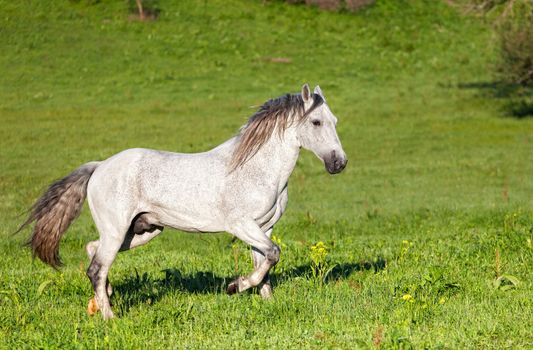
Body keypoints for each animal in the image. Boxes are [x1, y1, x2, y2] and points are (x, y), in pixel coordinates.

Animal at [19, 83, 344, 318]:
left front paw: (266, 302)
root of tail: (100, 167)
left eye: (335, 121)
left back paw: (104, 299)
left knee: (93, 252)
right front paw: (234, 286)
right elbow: (273, 255)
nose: (339, 163)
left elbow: (264, 262)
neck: (256, 168)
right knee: (96, 268)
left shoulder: (264, 228)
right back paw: (110, 317)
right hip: (117, 230)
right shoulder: (241, 225)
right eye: (316, 122)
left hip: (140, 231)